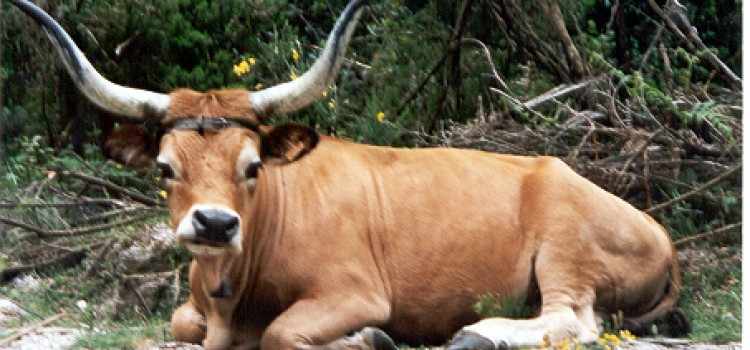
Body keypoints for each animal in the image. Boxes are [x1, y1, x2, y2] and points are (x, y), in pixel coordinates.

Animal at [10, 0, 692, 348]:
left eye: (252, 165)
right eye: (165, 166)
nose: (214, 224)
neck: (233, 287)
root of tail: (659, 232)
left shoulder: (356, 292)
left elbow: (283, 333)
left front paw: (367, 340)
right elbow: (180, 323)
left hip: (565, 249)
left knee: (575, 321)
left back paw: (478, 333)